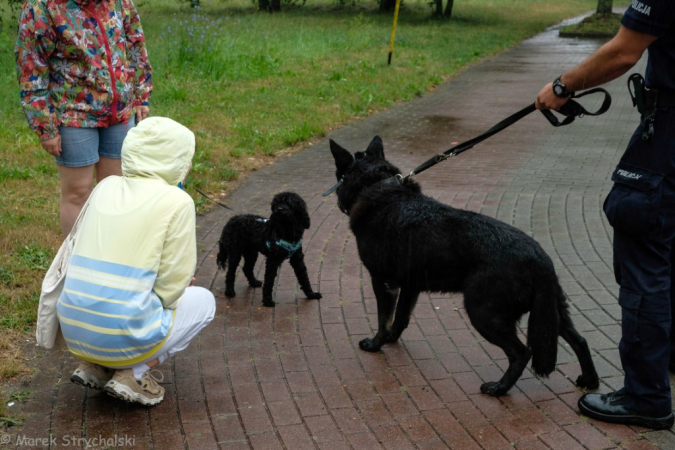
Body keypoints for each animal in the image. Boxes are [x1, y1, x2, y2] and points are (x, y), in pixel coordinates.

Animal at [330, 135, 600, 396]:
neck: (379, 187)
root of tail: (540, 259)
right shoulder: (410, 286)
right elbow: (400, 319)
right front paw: (391, 339)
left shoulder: (383, 283)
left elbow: (383, 321)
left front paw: (376, 344)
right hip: (550, 313)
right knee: (580, 341)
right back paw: (589, 380)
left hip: (484, 313)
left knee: (521, 352)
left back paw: (499, 388)